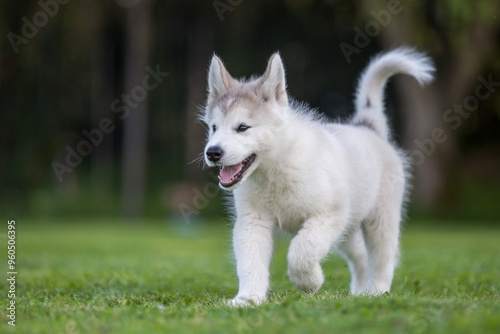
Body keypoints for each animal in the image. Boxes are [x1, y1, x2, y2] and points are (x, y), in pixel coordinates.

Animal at [201, 48, 436, 306]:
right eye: (214, 128)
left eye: (243, 127)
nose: (212, 152)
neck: (275, 170)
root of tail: (367, 127)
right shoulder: (252, 222)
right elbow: (250, 262)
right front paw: (247, 299)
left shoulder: (329, 215)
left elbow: (301, 250)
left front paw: (310, 282)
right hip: (347, 231)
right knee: (361, 255)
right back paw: (360, 292)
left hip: (380, 220)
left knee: (382, 260)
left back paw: (376, 292)